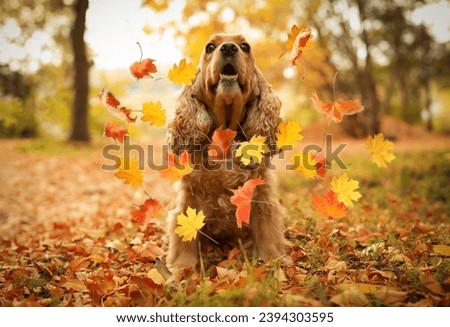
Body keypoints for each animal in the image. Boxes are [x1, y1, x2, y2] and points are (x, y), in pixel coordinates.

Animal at [167, 33, 286, 270]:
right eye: (210, 47)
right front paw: (183, 267)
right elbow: (185, 234)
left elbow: (267, 229)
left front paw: (271, 261)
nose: (229, 48)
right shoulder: (189, 196)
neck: (224, 137)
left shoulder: (260, 193)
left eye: (245, 46)